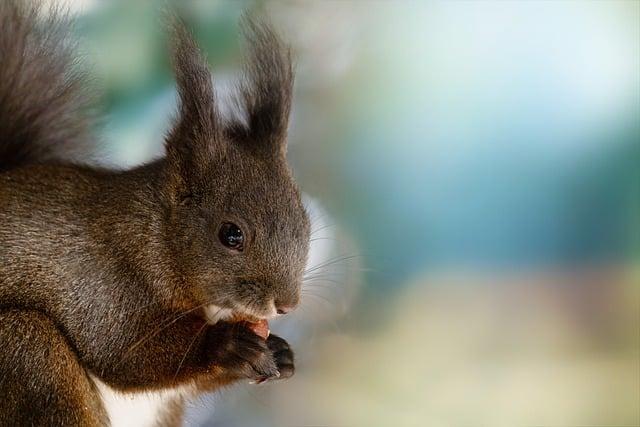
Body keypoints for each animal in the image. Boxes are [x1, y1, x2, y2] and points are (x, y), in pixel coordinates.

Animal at [0, 1, 310, 426]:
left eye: (306, 224)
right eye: (231, 234)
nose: (287, 305)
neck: (155, 237)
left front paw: (281, 351)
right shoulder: (103, 284)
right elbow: (126, 352)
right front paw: (226, 344)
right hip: (28, 351)